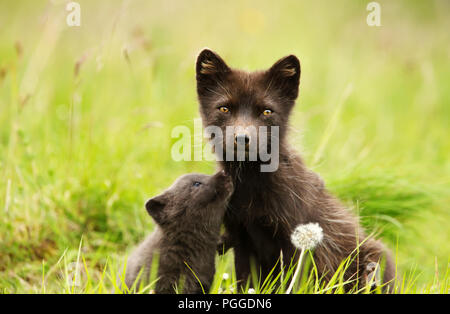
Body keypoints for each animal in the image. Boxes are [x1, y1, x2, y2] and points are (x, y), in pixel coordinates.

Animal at [195, 49, 396, 292]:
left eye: (266, 111)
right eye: (224, 108)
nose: (243, 139)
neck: (251, 187)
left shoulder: (297, 242)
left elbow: (294, 282)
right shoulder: (241, 238)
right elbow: (247, 282)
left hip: (376, 257)